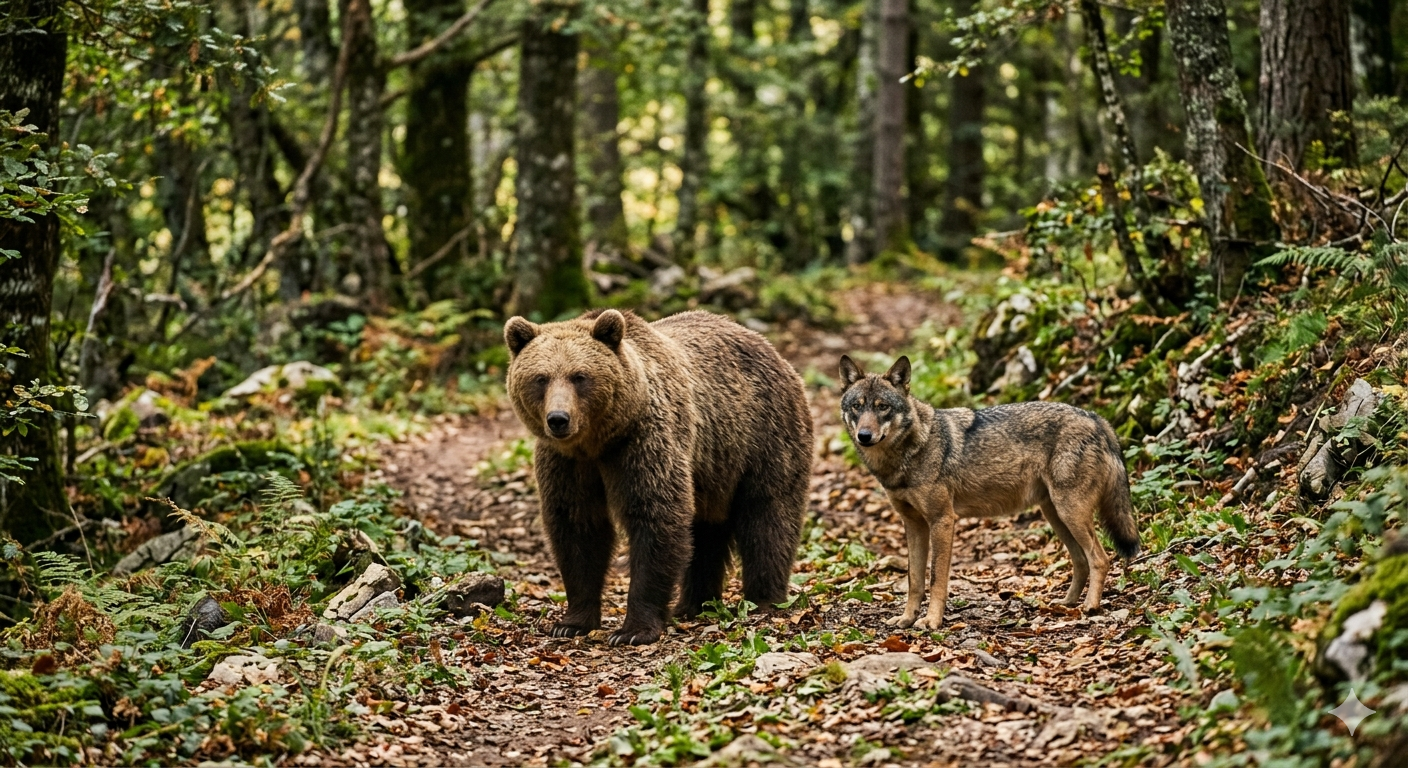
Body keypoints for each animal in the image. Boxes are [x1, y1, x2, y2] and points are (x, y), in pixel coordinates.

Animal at [503, 309, 813, 645]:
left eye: (580, 376)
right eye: (541, 378)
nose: (558, 419)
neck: (598, 443)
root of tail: (772, 349)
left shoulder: (644, 442)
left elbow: (655, 517)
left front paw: (633, 630)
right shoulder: (567, 464)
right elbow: (577, 528)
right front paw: (571, 622)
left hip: (763, 436)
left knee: (768, 516)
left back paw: (764, 599)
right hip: (713, 469)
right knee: (706, 532)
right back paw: (694, 604)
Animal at [838, 354, 1140, 629]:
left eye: (883, 407)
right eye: (856, 407)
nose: (864, 436)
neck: (908, 454)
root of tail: (1097, 419)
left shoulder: (942, 521)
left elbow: (936, 579)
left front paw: (932, 622)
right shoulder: (913, 525)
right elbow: (914, 580)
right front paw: (906, 619)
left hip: (1070, 513)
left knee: (1100, 558)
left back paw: (1090, 607)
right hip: (1056, 515)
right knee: (1080, 560)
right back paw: (1066, 604)